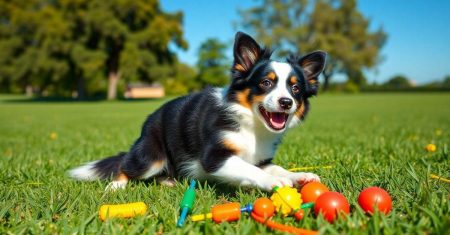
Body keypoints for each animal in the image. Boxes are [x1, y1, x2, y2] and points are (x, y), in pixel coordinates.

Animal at [68, 31, 326, 193]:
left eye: (295, 88)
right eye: (266, 83)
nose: (286, 102)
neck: (252, 126)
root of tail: (149, 120)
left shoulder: (260, 157)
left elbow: (270, 166)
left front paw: (298, 176)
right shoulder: (214, 157)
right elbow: (250, 169)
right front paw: (276, 181)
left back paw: (168, 182)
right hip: (150, 155)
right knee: (126, 165)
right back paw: (116, 186)